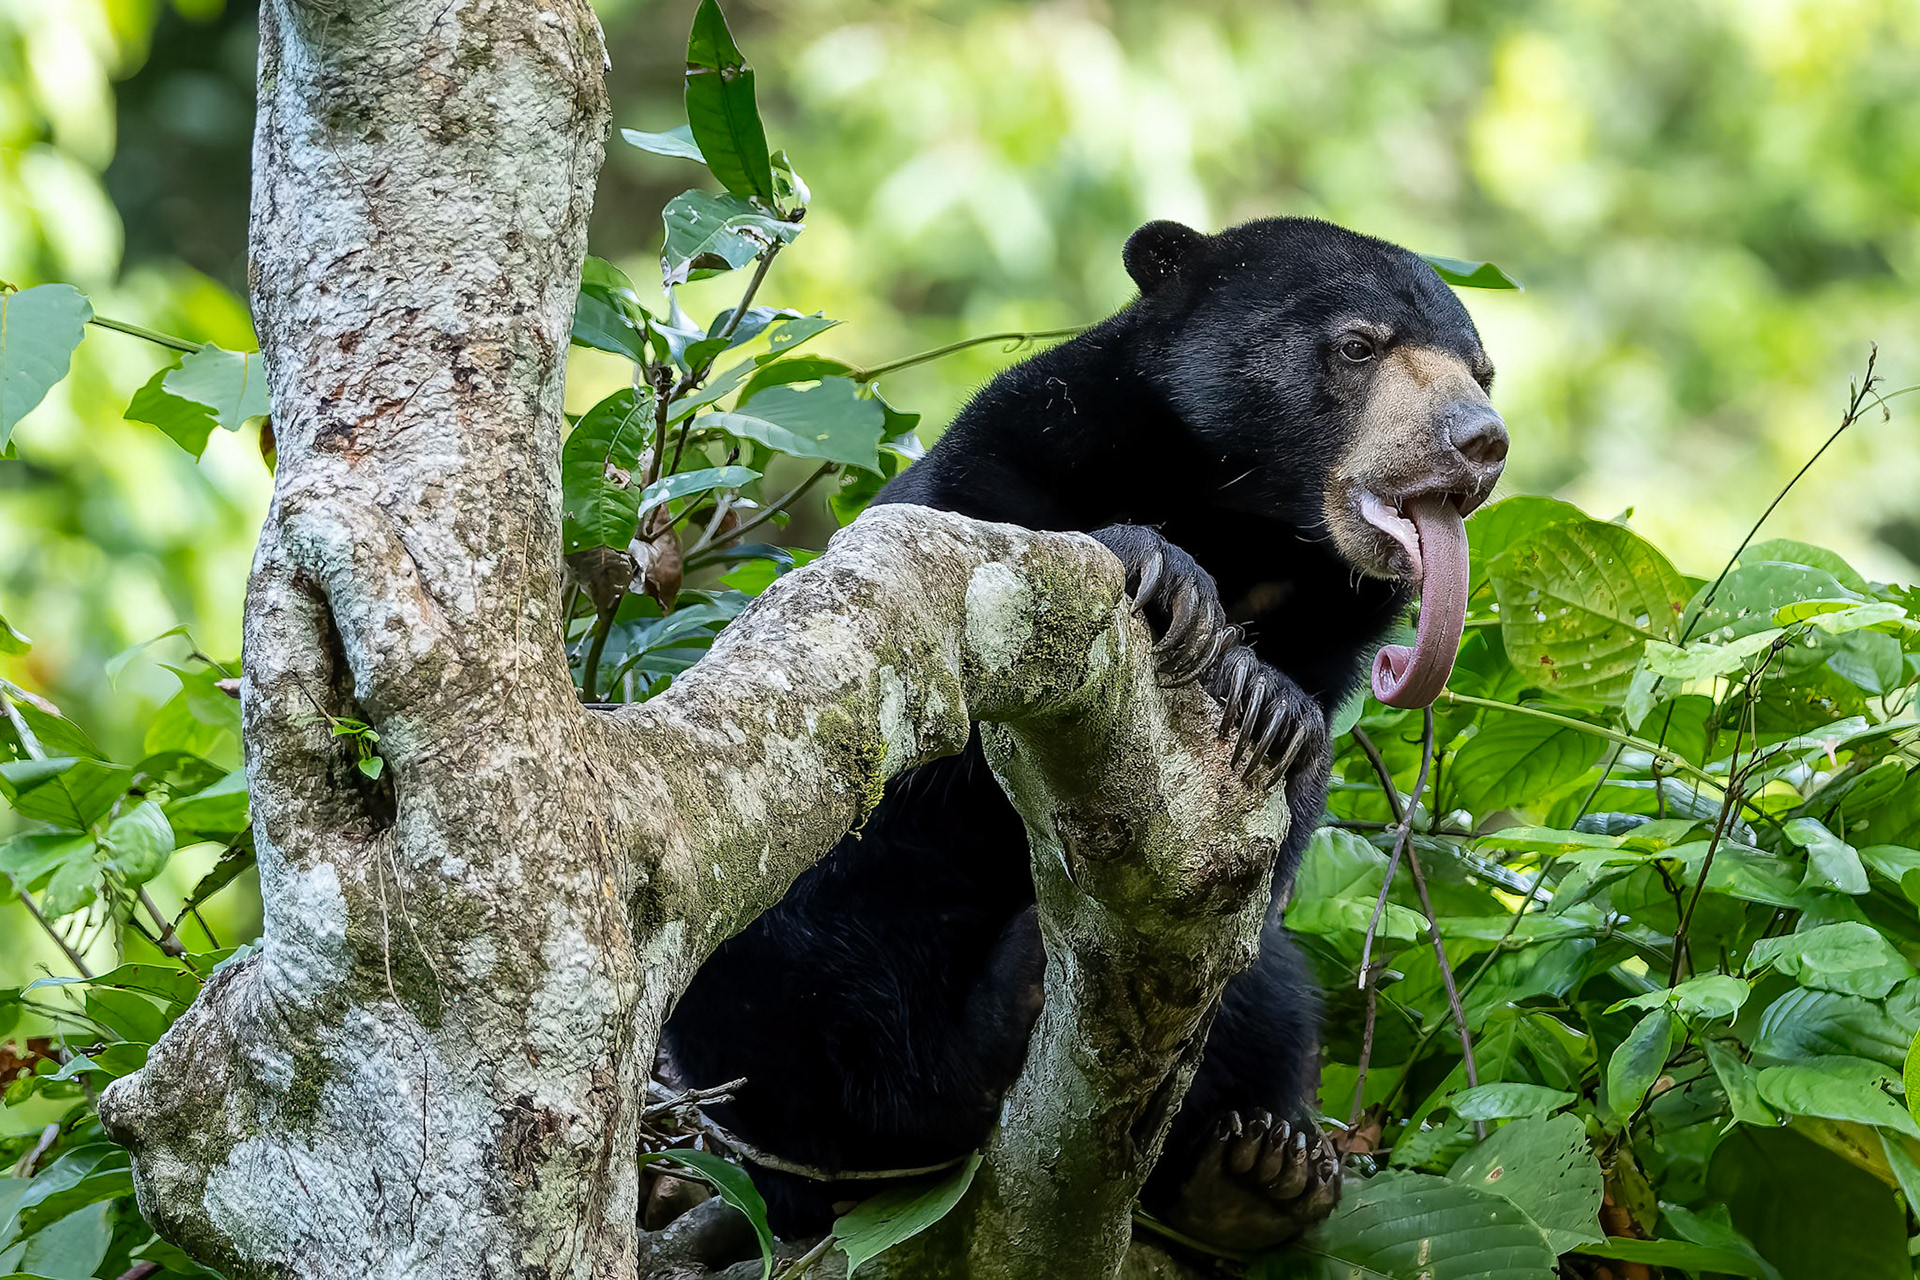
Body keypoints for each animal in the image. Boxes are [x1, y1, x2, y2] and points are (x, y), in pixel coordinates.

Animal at [659, 216, 1507, 1251]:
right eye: (1358, 345)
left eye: (1482, 369)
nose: (1479, 441)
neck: (1248, 522)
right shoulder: (1020, 447)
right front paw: (1169, 579)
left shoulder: (1333, 633)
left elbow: (1288, 817)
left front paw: (1271, 706)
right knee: (792, 1000)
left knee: (1270, 991)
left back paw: (1259, 1175)